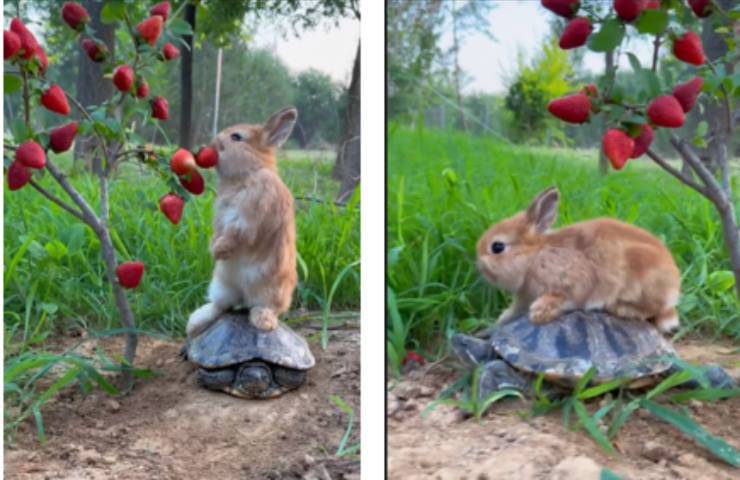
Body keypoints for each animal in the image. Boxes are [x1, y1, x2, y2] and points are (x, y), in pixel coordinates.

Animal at [185, 106, 298, 338]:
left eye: (236, 137)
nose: (210, 145)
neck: (246, 174)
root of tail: (244, 296)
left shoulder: (249, 219)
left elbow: (236, 235)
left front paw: (219, 251)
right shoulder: (221, 219)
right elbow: (219, 232)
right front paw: (214, 250)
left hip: (272, 290)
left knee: (265, 307)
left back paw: (263, 322)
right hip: (222, 285)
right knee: (221, 305)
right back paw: (194, 324)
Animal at [474, 186, 684, 332]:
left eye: (497, 247)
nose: (480, 267)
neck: (534, 255)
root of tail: (674, 286)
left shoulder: (572, 282)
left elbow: (562, 298)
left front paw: (539, 312)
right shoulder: (523, 297)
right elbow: (515, 310)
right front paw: (501, 320)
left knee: (653, 309)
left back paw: (622, 309)